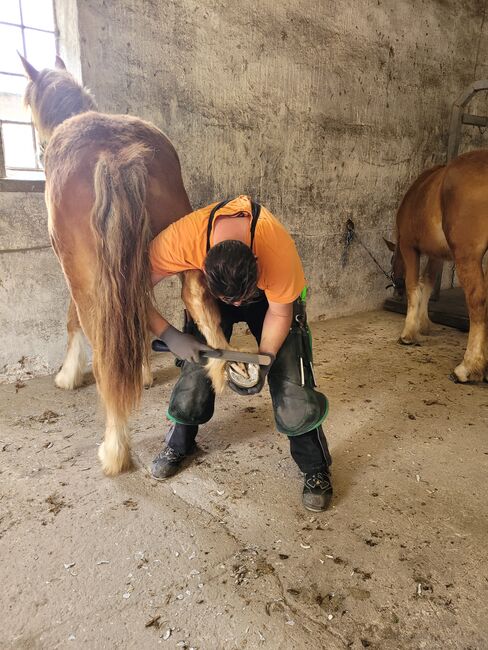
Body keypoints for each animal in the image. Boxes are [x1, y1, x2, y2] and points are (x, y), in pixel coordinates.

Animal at [20, 55, 230, 474]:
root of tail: (116, 154)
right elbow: (139, 315)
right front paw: (145, 372)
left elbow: (73, 321)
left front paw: (68, 376)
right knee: (195, 296)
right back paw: (219, 368)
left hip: (91, 278)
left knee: (103, 352)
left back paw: (114, 448)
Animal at [386, 149, 488, 382]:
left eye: (392, 261)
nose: (396, 291)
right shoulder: (437, 255)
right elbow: (428, 282)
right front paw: (424, 324)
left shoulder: (409, 247)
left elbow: (414, 285)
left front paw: (408, 333)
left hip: (467, 256)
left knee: (477, 301)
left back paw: (467, 367)